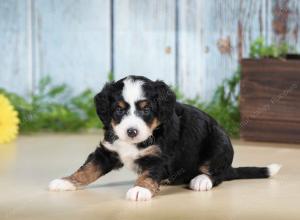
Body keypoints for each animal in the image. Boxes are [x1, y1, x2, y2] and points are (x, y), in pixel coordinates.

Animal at [49, 75, 282, 201]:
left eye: (146, 109)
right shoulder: (107, 151)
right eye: (118, 110)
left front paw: (140, 189)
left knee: (217, 173)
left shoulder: (158, 157)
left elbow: (148, 174)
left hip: (218, 143)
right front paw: (66, 181)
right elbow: (88, 169)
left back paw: (201, 180)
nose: (131, 131)